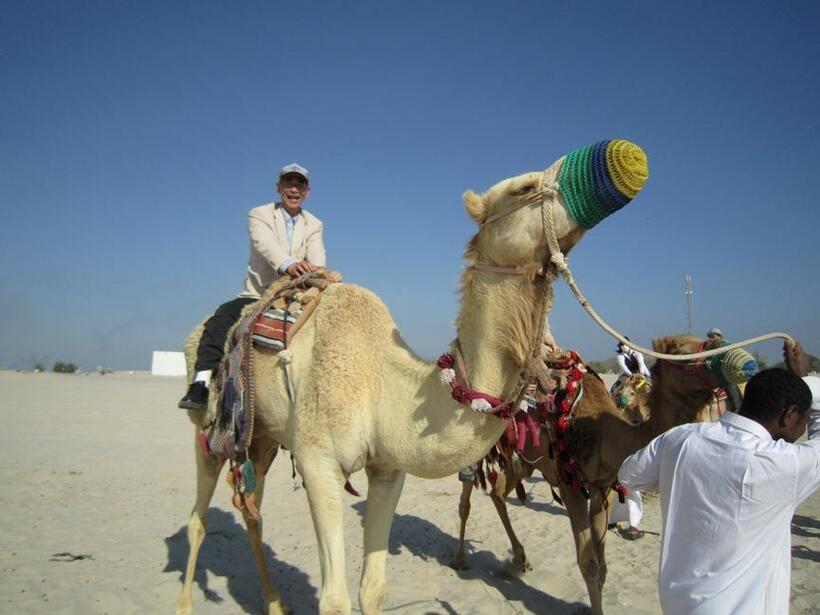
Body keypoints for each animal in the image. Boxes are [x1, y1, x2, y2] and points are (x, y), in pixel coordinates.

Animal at [176, 141, 652, 615]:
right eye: (524, 188)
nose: (625, 156)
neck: (385, 384)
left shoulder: (389, 469)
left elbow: (372, 589)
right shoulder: (319, 462)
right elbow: (335, 600)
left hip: (262, 436)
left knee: (251, 506)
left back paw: (275, 602)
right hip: (212, 430)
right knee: (199, 516)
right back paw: (186, 601)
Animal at [454, 336, 756, 615]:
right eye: (682, 350)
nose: (737, 355)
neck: (606, 435)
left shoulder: (603, 487)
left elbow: (602, 566)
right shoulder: (570, 485)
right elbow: (588, 564)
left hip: (522, 462)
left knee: (498, 493)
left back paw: (520, 560)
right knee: (467, 499)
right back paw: (461, 559)